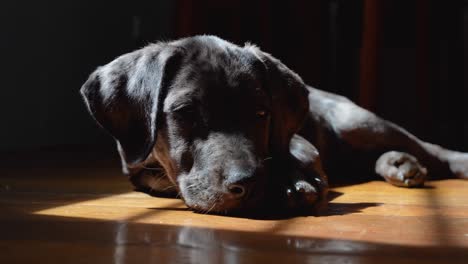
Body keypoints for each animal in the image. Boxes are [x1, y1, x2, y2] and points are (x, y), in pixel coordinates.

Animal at [80, 35, 468, 214]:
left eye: (261, 114)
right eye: (186, 113)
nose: (246, 184)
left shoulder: (295, 141)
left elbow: (286, 152)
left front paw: (292, 182)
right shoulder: (141, 169)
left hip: (358, 123)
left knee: (432, 149)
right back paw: (399, 164)